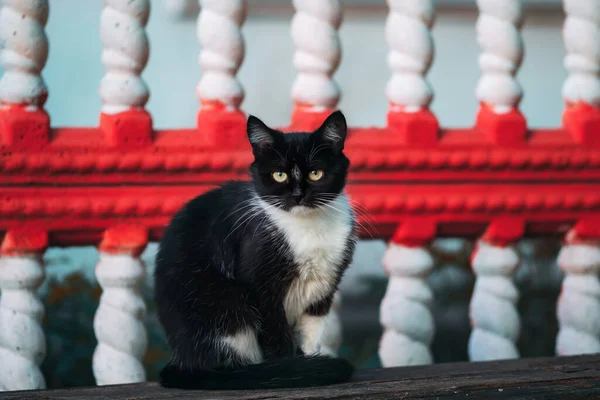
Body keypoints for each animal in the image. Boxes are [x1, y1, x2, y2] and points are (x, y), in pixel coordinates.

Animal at [155, 110, 358, 390]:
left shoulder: (325, 284)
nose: (298, 195)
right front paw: (291, 371)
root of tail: (183, 359)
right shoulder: (259, 281)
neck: (307, 227)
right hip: (226, 303)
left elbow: (312, 329)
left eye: (316, 173)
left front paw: (306, 359)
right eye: (279, 175)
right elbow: (276, 335)